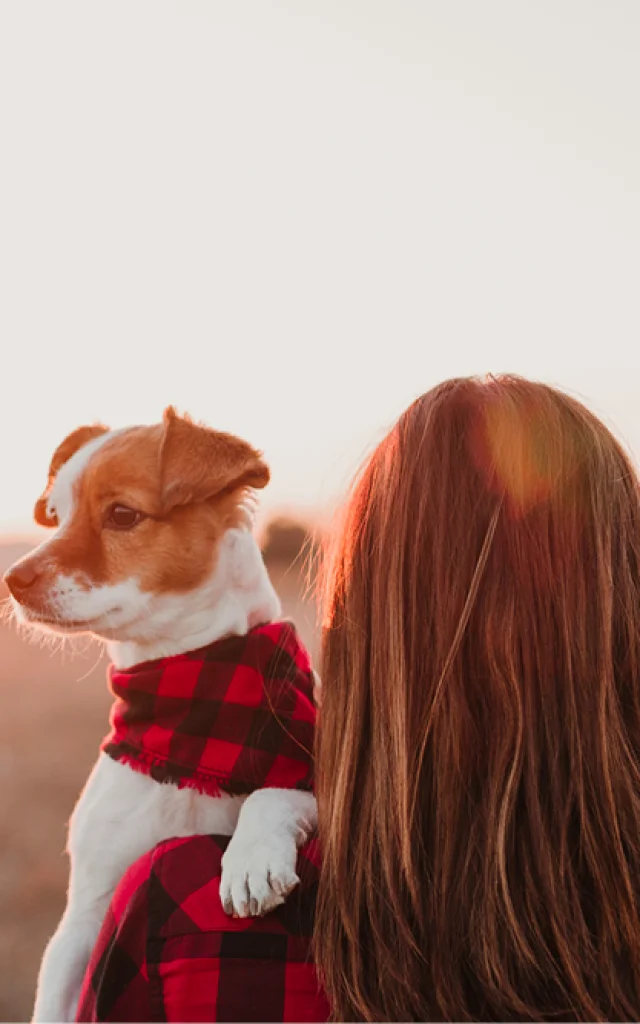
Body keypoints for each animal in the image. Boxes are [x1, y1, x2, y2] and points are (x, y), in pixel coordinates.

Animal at [2, 407, 317, 1024]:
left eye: (123, 514)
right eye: (56, 515)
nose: (13, 579)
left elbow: (279, 792)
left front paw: (251, 858)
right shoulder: (82, 922)